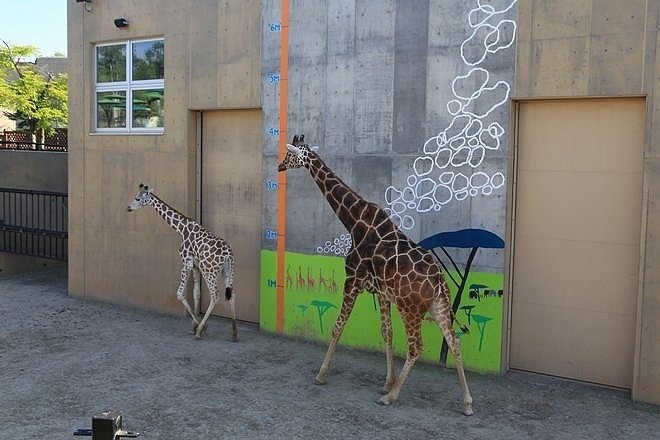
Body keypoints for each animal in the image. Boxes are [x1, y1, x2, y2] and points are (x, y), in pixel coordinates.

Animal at [125, 184, 237, 342]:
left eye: (137, 198)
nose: (128, 208)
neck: (182, 229)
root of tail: (228, 254)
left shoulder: (186, 264)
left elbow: (180, 294)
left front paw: (200, 327)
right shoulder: (195, 267)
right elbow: (196, 293)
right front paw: (193, 326)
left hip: (209, 271)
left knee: (216, 295)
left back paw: (200, 332)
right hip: (227, 271)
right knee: (231, 294)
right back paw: (234, 334)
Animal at [278, 134, 474, 416]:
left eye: (290, 155)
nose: (279, 166)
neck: (353, 221)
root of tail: (439, 280)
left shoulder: (353, 279)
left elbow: (338, 326)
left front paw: (322, 374)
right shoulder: (381, 292)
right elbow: (386, 333)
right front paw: (387, 381)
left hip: (411, 308)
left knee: (417, 347)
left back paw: (391, 398)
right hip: (438, 306)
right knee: (454, 342)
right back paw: (467, 403)